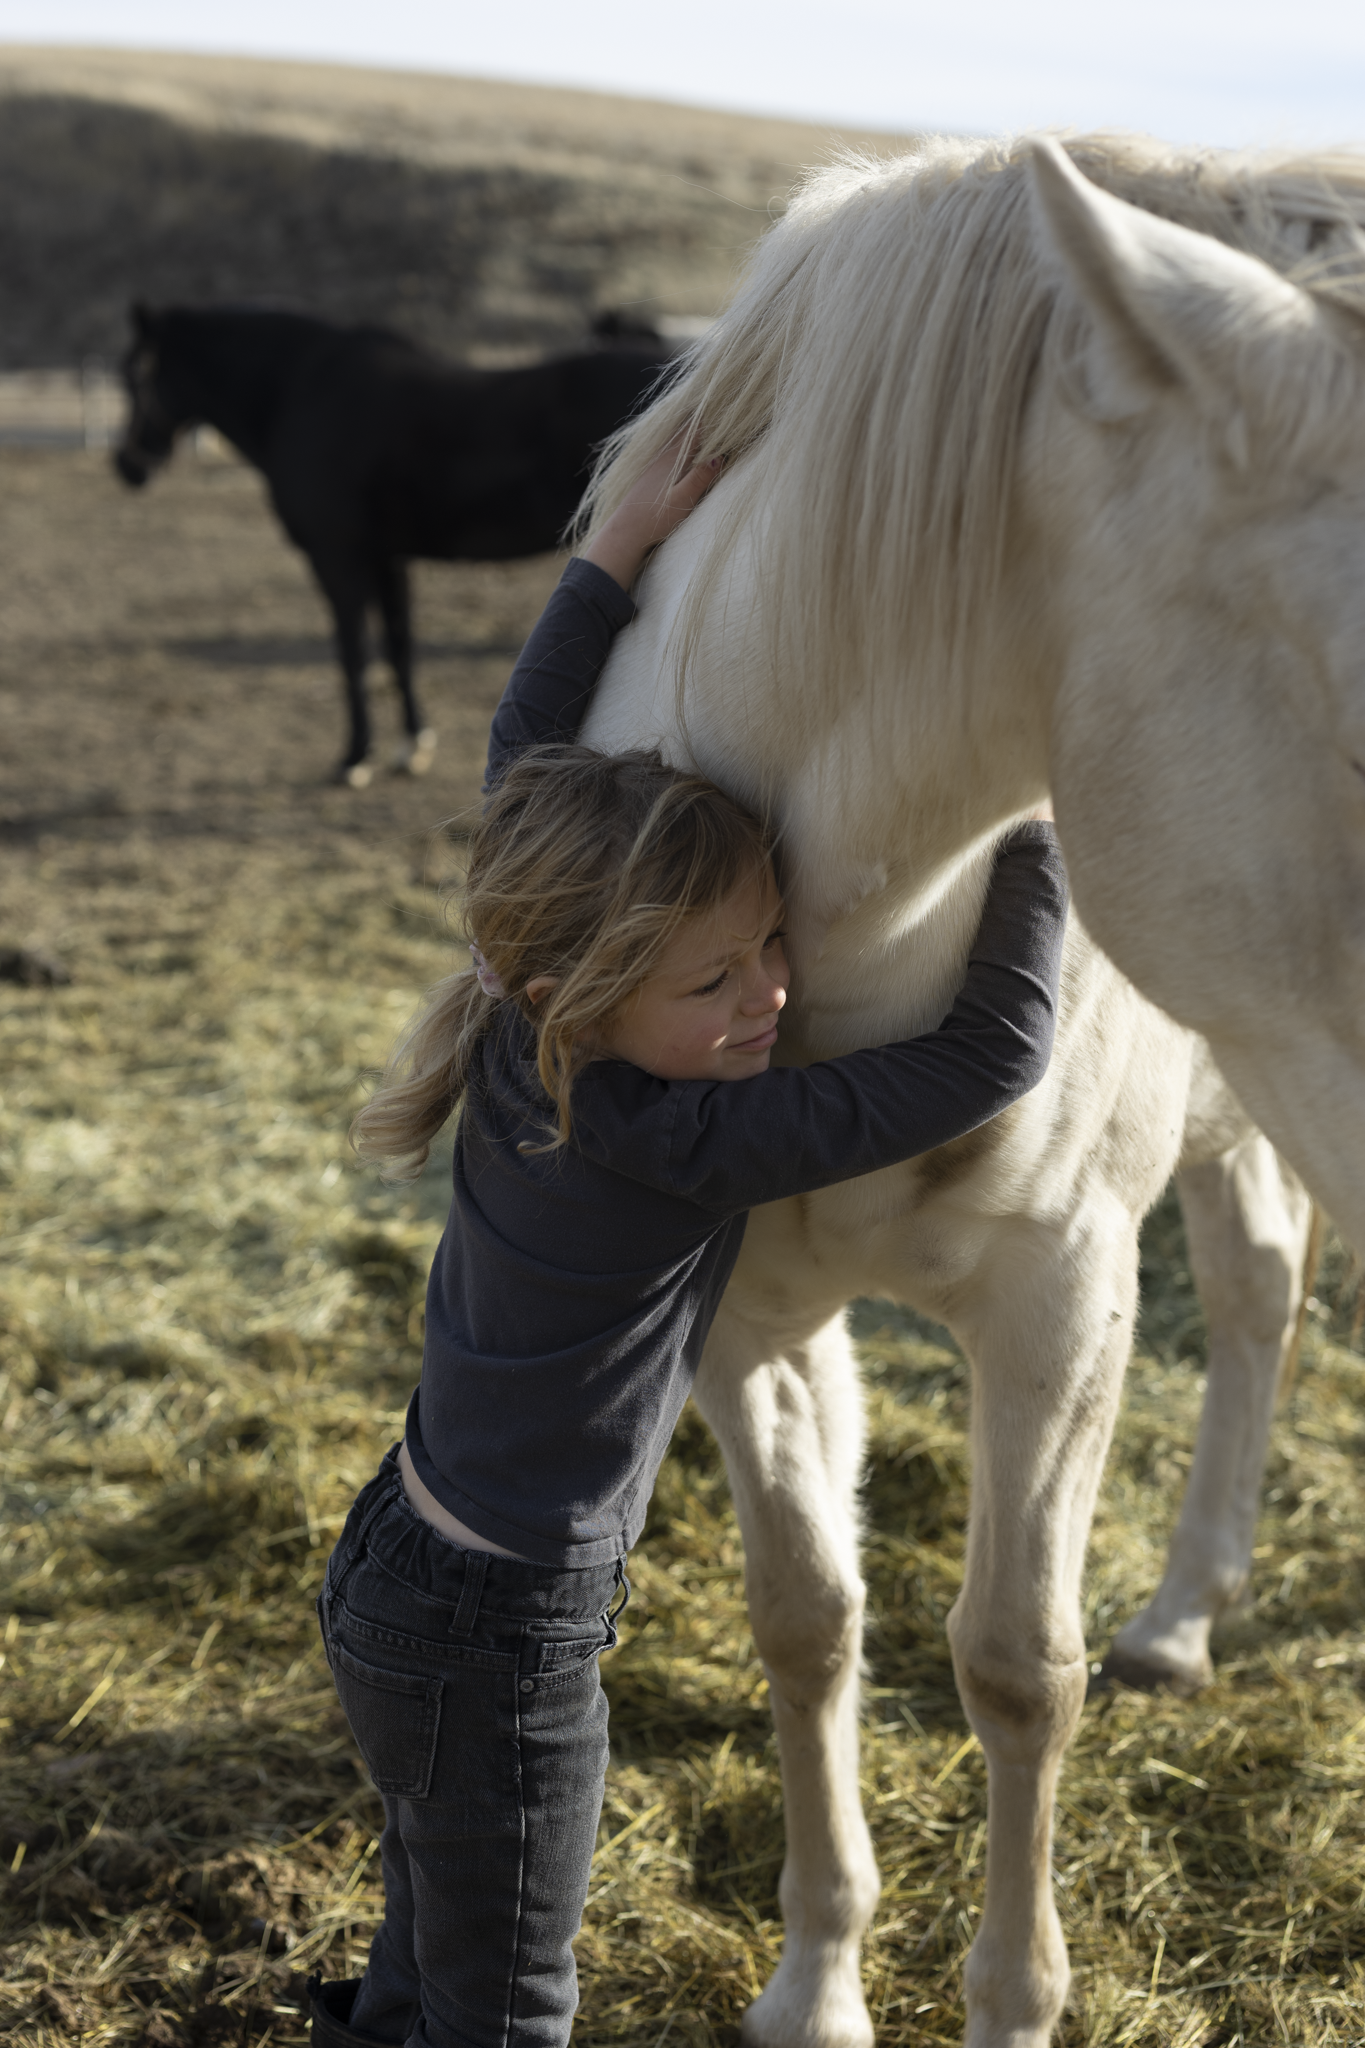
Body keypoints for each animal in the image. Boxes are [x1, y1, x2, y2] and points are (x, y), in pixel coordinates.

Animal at [113, 304, 678, 786]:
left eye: (135, 377)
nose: (126, 466)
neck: (301, 394)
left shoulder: (338, 559)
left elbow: (354, 656)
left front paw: (355, 758)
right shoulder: (387, 559)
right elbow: (398, 646)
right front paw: (412, 747)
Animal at [572, 132, 1365, 2046]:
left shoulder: (1058, 1302)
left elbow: (1017, 1666)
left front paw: (1011, 1998)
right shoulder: (743, 1315)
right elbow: (807, 1617)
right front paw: (814, 1983)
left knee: (1252, 1308)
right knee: (1255, 1290)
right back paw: (1184, 1614)